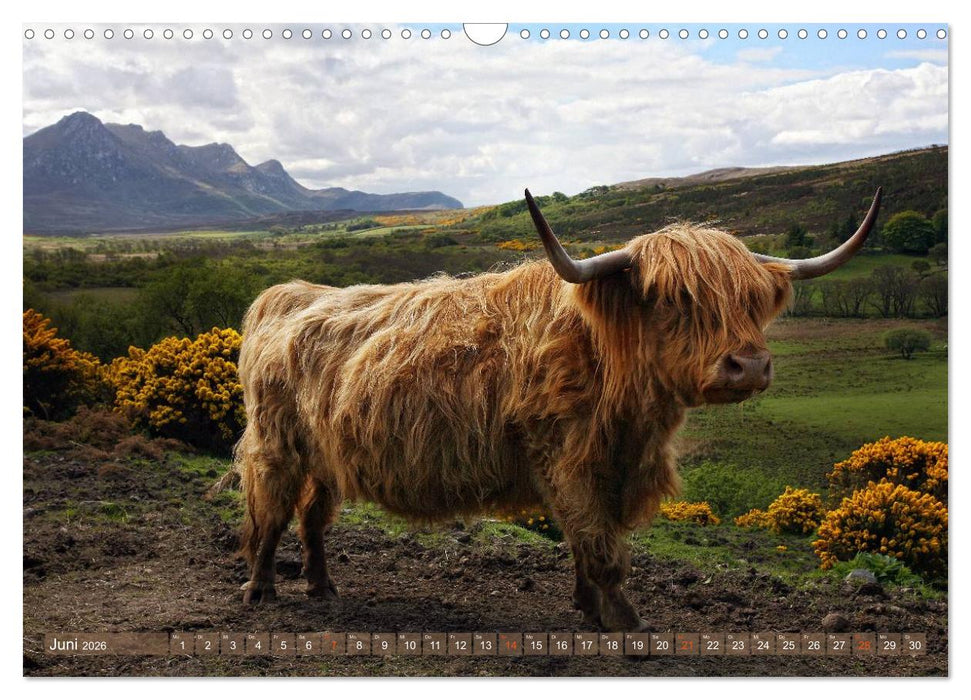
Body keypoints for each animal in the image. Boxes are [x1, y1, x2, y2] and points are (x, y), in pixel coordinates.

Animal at [235, 187, 882, 631]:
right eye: (675, 299)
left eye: (752, 299)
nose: (748, 365)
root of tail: (290, 294)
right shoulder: (568, 460)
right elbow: (598, 542)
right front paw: (623, 618)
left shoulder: (608, 465)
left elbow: (584, 540)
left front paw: (588, 608)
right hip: (277, 445)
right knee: (271, 514)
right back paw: (261, 590)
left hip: (326, 455)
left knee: (313, 517)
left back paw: (323, 587)